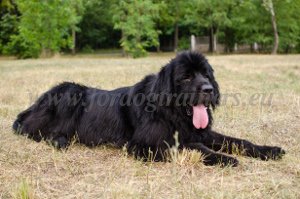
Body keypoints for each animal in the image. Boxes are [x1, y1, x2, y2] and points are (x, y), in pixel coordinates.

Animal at [11, 51, 284, 166]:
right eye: (186, 77)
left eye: (206, 74)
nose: (208, 89)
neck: (172, 112)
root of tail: (34, 104)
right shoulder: (143, 145)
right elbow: (194, 147)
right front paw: (224, 158)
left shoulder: (201, 131)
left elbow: (237, 141)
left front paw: (268, 150)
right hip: (70, 93)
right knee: (33, 130)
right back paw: (59, 140)